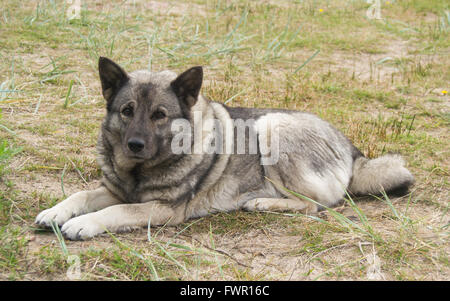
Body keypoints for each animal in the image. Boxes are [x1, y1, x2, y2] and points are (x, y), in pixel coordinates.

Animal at [36, 56, 414, 239]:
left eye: (159, 115)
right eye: (127, 111)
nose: (135, 145)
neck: (140, 172)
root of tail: (353, 150)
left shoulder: (163, 209)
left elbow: (117, 211)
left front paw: (84, 224)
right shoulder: (114, 190)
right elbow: (82, 195)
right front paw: (56, 212)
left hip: (271, 127)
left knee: (317, 205)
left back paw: (263, 202)